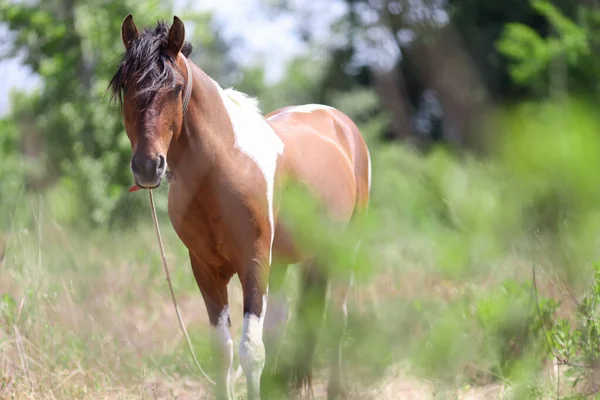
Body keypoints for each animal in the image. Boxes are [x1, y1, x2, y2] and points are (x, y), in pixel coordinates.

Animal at [108, 14, 370, 398]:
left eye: (175, 87)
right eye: (126, 85)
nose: (147, 166)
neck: (223, 167)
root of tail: (338, 121)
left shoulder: (254, 263)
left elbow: (251, 350)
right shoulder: (206, 270)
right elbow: (224, 351)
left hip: (343, 248)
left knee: (337, 316)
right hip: (288, 262)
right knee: (282, 323)